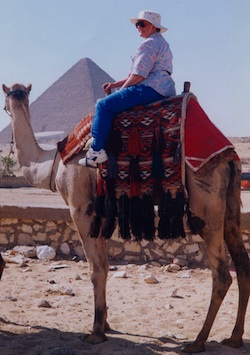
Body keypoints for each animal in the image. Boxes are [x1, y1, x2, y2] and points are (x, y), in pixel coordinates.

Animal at [1, 83, 250, 354]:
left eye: (4, 101)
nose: (9, 104)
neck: (53, 164)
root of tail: (227, 155)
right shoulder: (98, 213)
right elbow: (104, 266)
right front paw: (105, 323)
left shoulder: (80, 208)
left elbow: (96, 269)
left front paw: (96, 332)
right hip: (230, 206)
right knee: (242, 264)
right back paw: (234, 338)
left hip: (205, 205)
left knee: (221, 273)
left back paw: (198, 341)